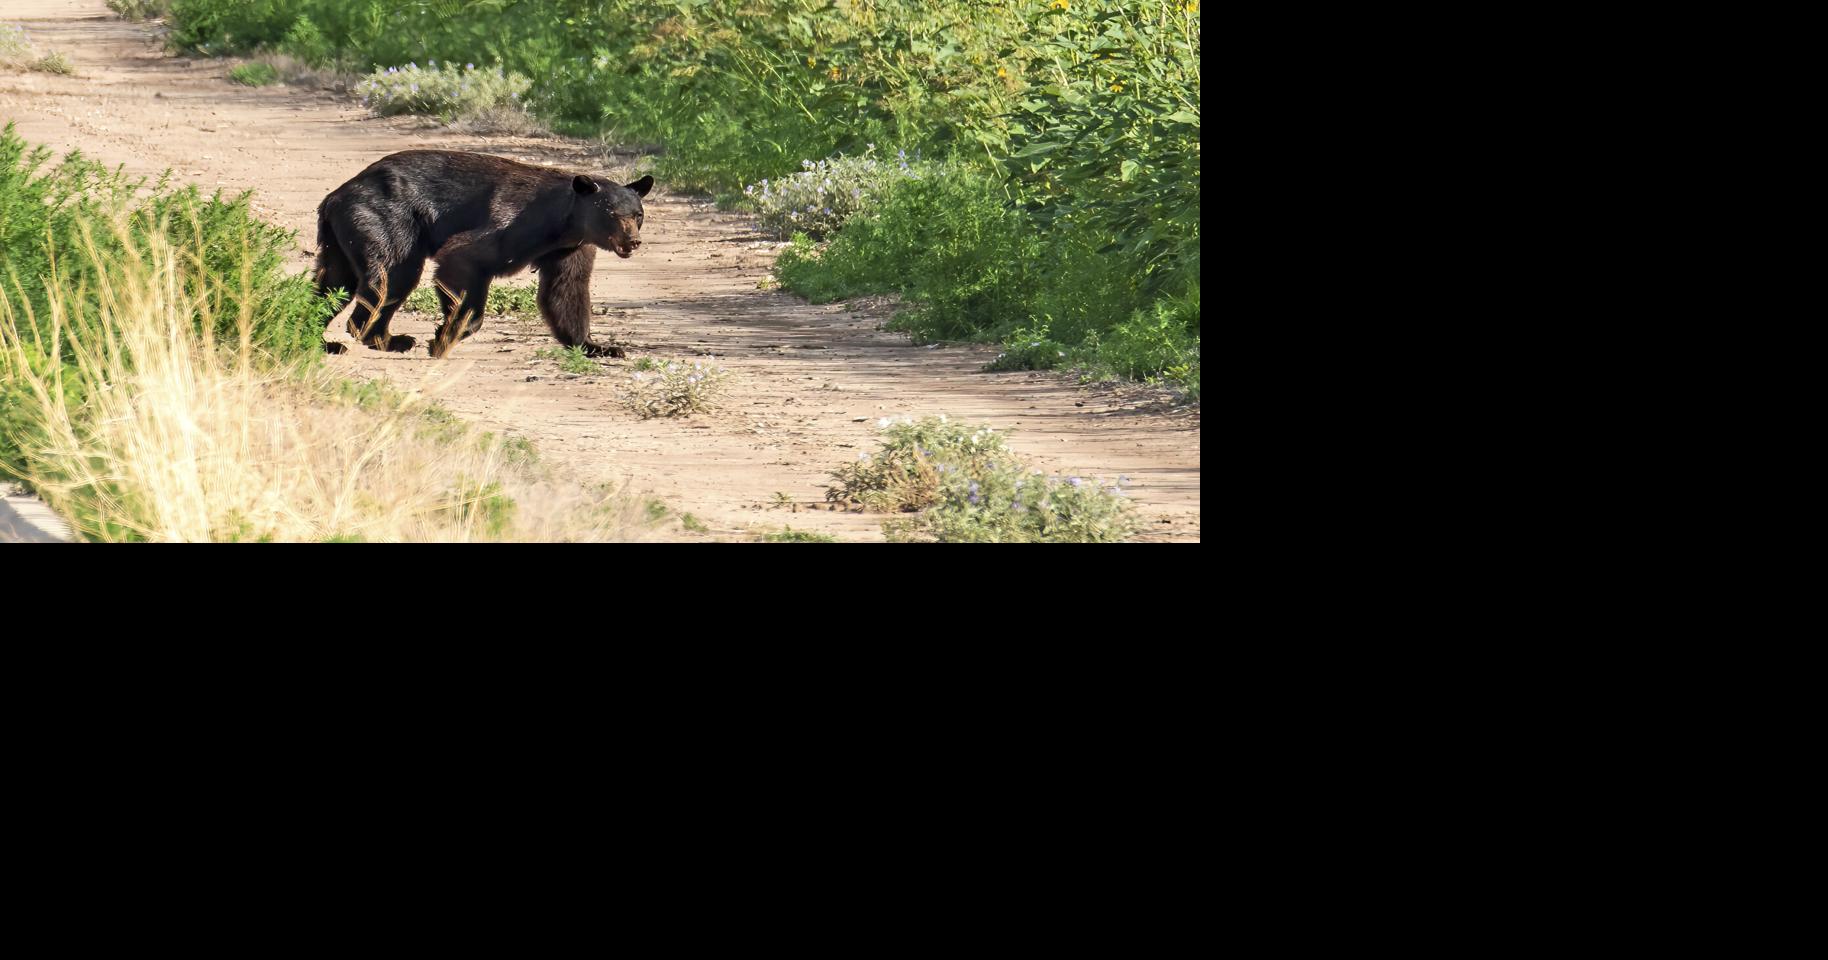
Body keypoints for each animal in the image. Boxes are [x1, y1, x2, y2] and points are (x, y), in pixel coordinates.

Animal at [311, 149, 653, 359]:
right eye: (612, 214)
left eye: (637, 214)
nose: (633, 241)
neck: (563, 222)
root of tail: (334, 196)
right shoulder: (515, 223)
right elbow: (463, 258)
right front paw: (443, 337)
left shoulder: (572, 248)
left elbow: (566, 290)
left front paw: (598, 345)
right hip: (384, 218)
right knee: (393, 274)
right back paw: (387, 338)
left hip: (340, 237)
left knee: (332, 284)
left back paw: (322, 339)